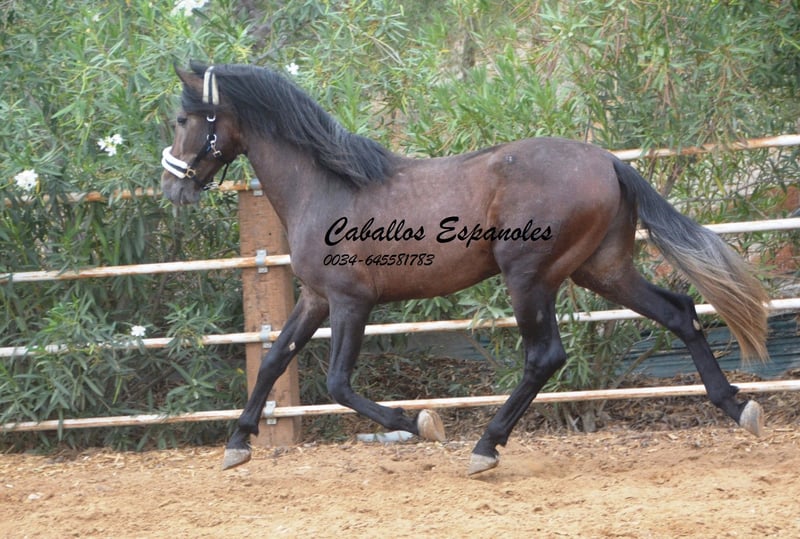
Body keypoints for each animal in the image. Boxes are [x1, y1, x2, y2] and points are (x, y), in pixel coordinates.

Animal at [161, 62, 769, 475]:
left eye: (185, 118)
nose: (171, 187)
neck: (326, 187)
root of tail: (609, 162)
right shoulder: (314, 298)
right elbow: (271, 362)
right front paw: (237, 444)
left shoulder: (351, 301)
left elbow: (337, 383)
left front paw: (421, 423)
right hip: (603, 270)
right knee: (680, 311)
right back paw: (737, 407)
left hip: (529, 277)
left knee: (545, 356)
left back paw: (485, 447)